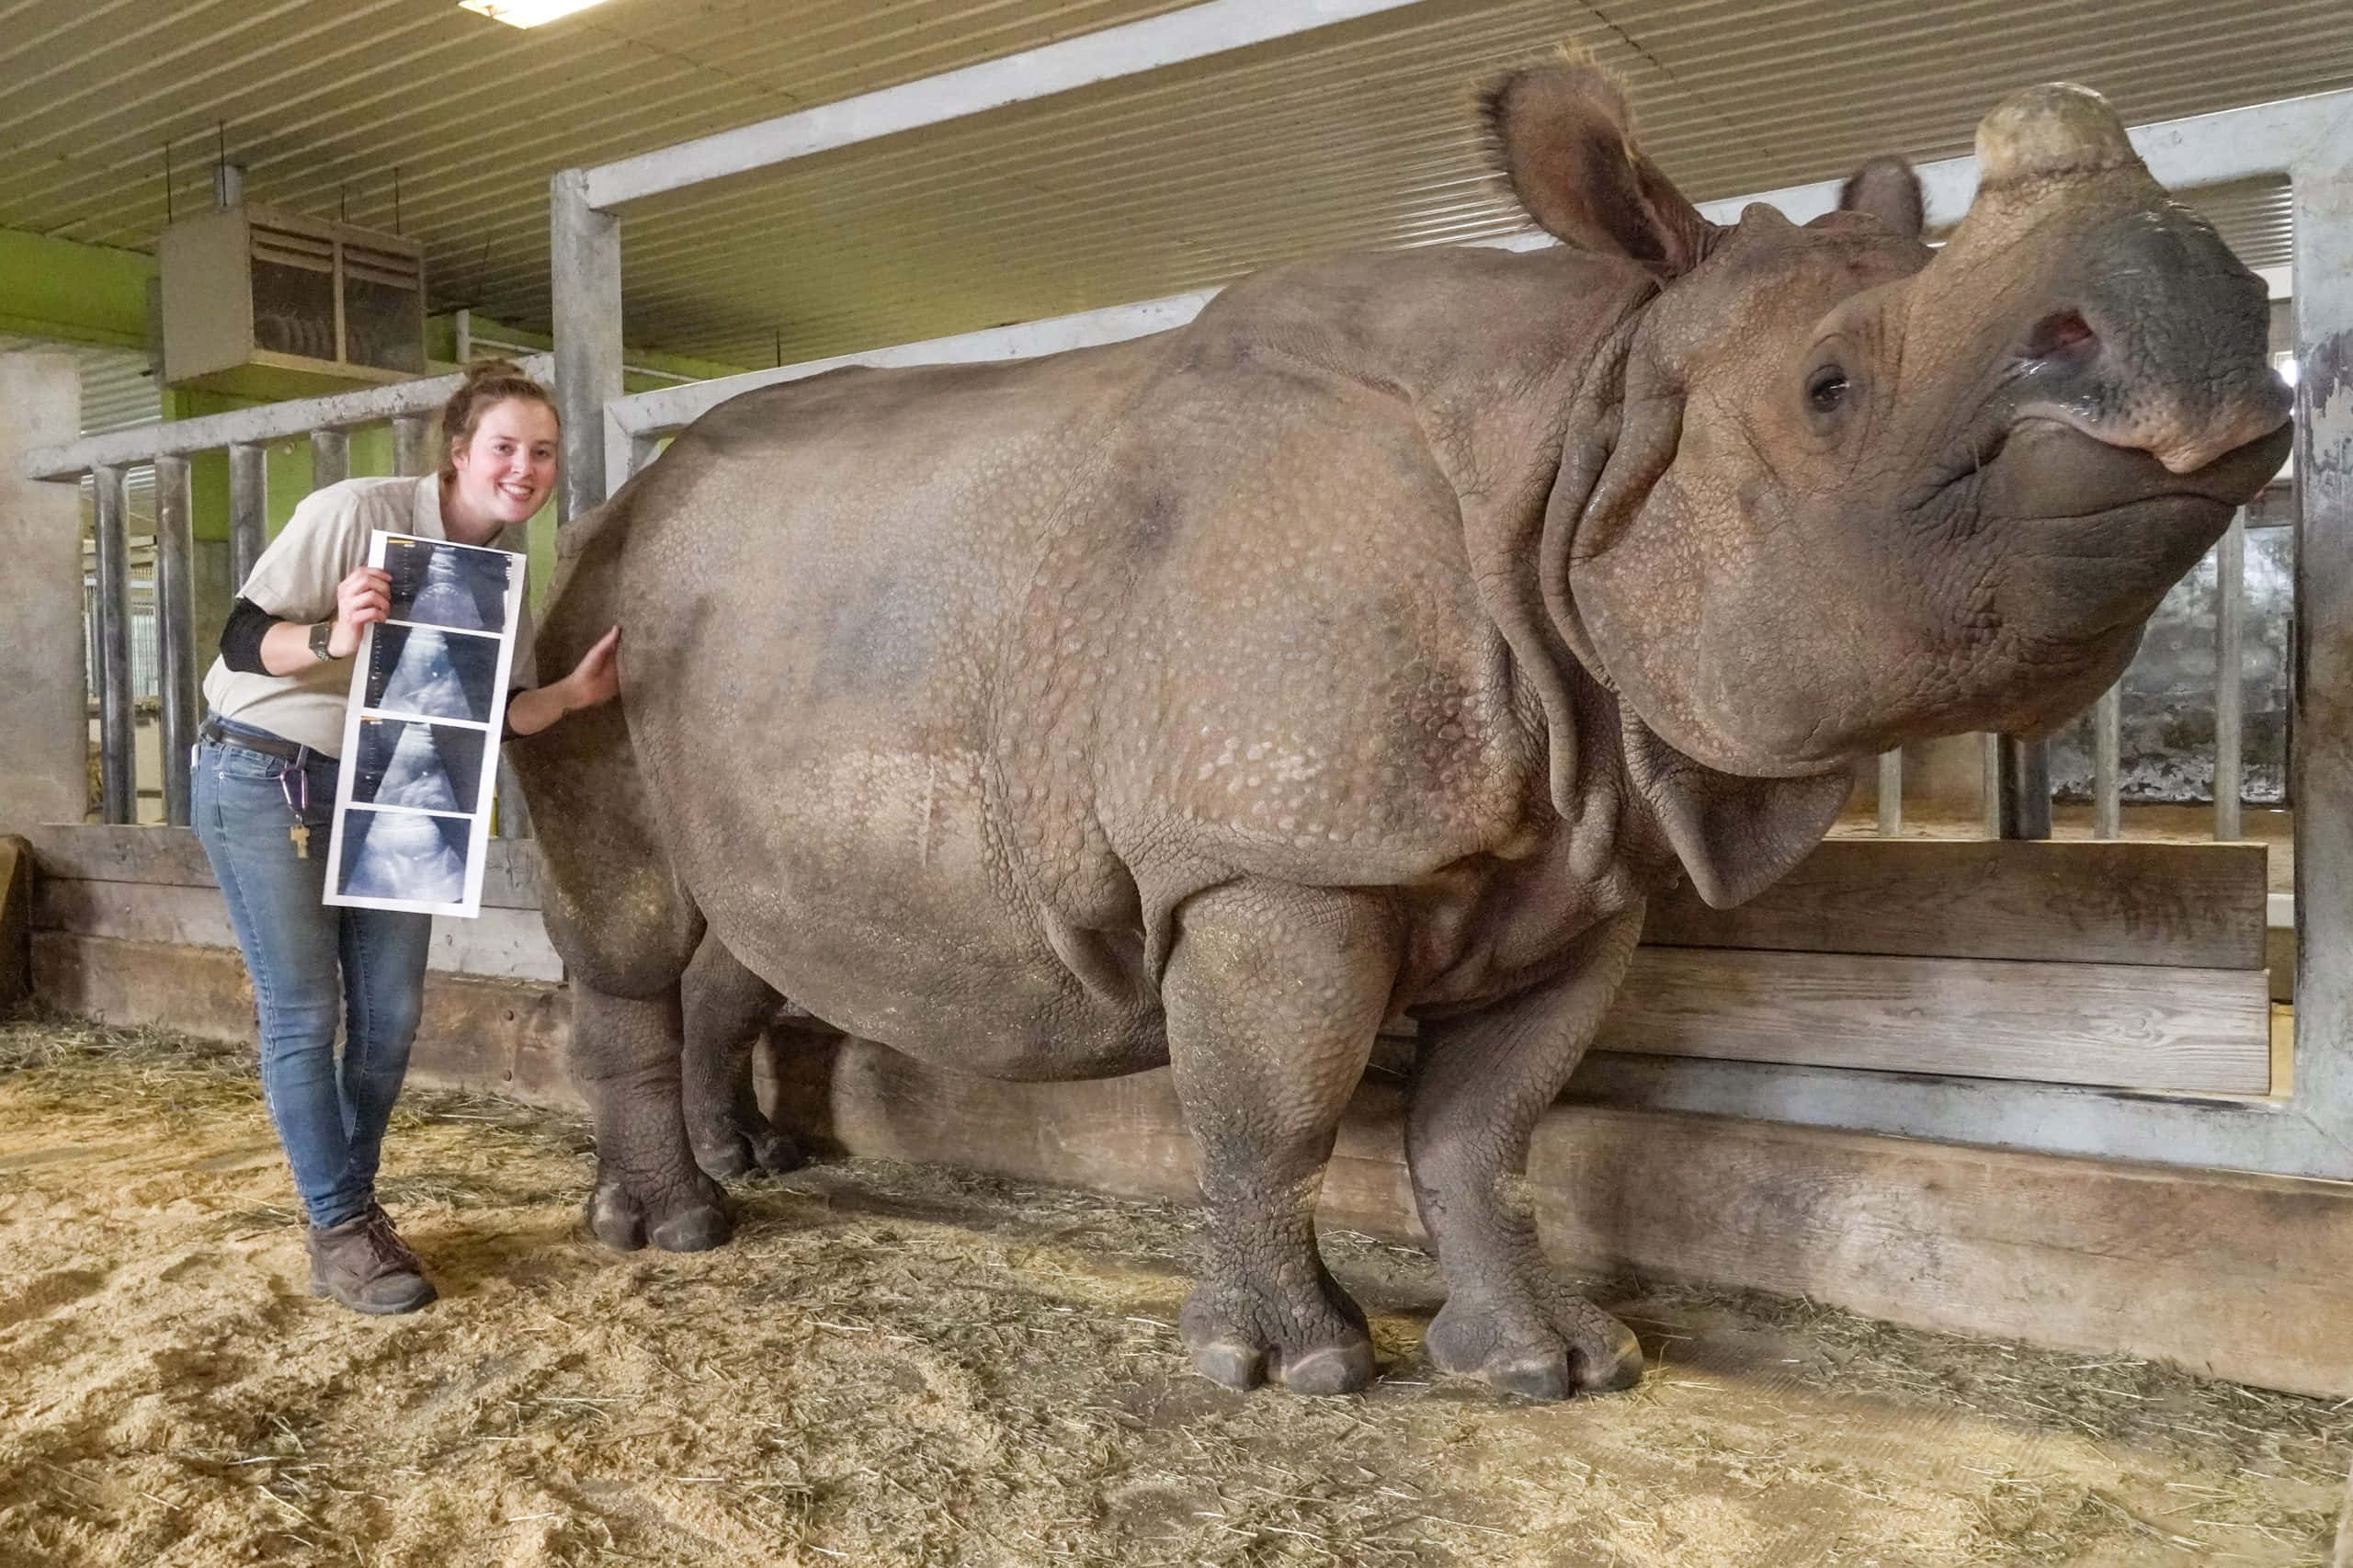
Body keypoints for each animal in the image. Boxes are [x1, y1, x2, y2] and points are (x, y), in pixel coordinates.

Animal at [513, 62, 2289, 1400]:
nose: (2226, 366)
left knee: (751, 925)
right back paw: (675, 1233)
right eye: (1832, 388)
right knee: (631, 922)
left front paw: (1557, 1367)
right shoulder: (1274, 849)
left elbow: (1484, 1127)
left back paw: (749, 1166)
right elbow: (1276, 1110)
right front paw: (1290, 1371)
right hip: (585, 619)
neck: (1580, 425)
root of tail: (617, 499)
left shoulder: (1583, 858)